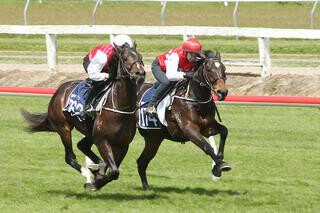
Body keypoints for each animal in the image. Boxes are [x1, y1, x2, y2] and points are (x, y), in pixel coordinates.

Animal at [22, 44, 146, 191]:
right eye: (125, 58)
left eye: (140, 57)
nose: (140, 74)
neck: (120, 107)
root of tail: (59, 91)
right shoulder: (102, 141)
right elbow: (114, 171)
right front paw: (94, 180)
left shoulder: (123, 144)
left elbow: (113, 172)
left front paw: (97, 180)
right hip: (64, 128)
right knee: (70, 157)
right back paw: (88, 173)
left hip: (89, 133)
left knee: (82, 146)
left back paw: (95, 167)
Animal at [136, 50, 231, 191]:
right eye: (209, 69)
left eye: (224, 69)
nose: (222, 92)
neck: (195, 98)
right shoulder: (189, 129)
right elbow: (207, 147)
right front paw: (220, 165)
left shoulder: (207, 127)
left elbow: (224, 131)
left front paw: (217, 165)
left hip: (154, 138)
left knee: (142, 162)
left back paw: (146, 188)